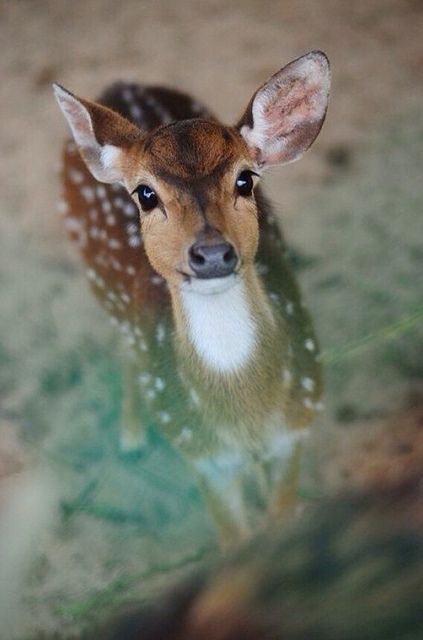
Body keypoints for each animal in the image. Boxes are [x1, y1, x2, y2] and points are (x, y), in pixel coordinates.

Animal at [53, 51, 330, 545]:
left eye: (245, 180)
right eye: (146, 194)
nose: (212, 253)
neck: (246, 414)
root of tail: (119, 85)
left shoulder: (295, 426)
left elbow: (280, 519)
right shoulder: (200, 454)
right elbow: (234, 541)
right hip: (97, 280)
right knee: (122, 343)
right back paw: (130, 437)